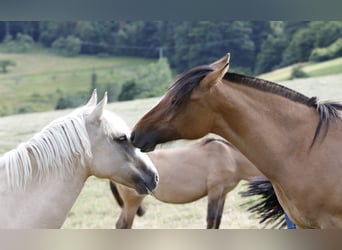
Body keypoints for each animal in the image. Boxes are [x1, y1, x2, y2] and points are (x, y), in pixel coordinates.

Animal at [109, 138, 262, 229]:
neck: (230, 157)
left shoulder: (222, 193)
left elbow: (217, 220)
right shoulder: (215, 190)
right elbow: (211, 219)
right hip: (132, 202)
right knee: (124, 225)